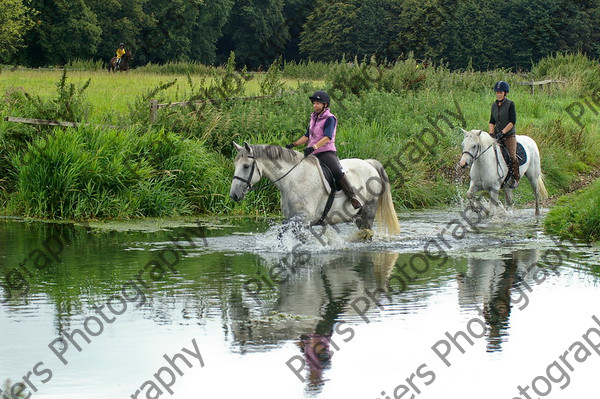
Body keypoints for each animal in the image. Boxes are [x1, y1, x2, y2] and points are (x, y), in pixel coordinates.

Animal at [230, 144, 404, 238]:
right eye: (235, 165)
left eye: (246, 166)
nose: (234, 195)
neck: (294, 178)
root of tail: (369, 164)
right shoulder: (297, 220)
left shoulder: (302, 218)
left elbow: (282, 230)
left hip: (368, 211)